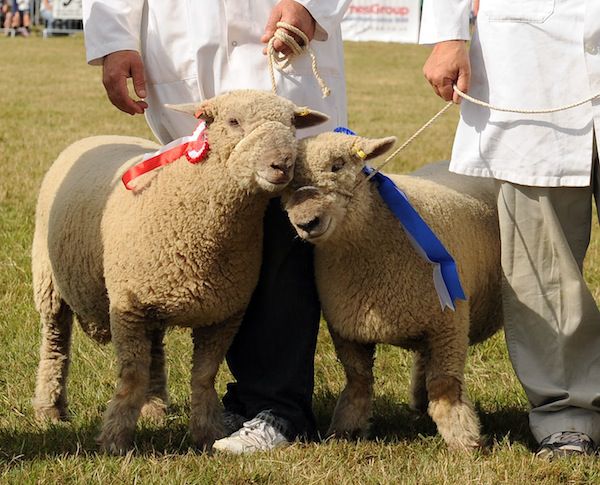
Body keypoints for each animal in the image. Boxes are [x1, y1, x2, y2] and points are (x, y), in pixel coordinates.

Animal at [31, 88, 328, 454]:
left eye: (292, 124)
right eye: (233, 121)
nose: (282, 164)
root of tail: (93, 137)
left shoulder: (224, 313)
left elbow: (203, 377)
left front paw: (207, 433)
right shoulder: (127, 307)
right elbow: (132, 376)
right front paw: (115, 441)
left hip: (153, 300)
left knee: (155, 351)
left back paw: (154, 407)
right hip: (48, 280)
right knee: (55, 343)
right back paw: (50, 408)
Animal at [284, 132, 504, 450]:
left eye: (338, 166)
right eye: (288, 180)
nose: (306, 222)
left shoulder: (449, 324)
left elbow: (445, 387)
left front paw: (465, 441)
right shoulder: (347, 329)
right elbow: (358, 384)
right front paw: (345, 432)